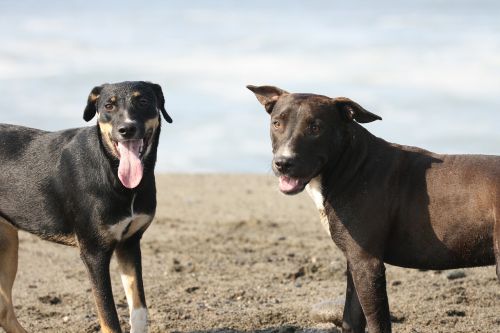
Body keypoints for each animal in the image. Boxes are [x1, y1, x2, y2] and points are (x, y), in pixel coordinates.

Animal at [0, 81, 172, 332]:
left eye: (143, 101)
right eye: (108, 105)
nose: (126, 129)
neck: (112, 171)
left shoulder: (129, 243)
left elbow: (139, 309)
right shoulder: (94, 252)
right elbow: (109, 319)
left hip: (8, 243)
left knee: (4, 310)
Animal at [247, 85, 500, 332]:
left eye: (315, 127)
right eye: (277, 123)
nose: (283, 163)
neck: (352, 163)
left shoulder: (368, 263)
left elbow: (378, 323)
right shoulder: (354, 261)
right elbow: (350, 318)